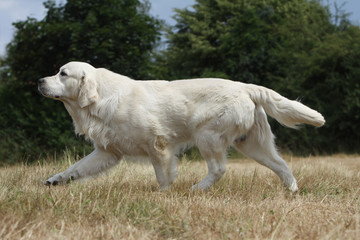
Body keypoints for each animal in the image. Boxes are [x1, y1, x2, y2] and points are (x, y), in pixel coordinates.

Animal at [38, 62, 324, 191]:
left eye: (63, 73)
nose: (39, 80)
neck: (101, 99)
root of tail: (245, 87)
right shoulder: (107, 152)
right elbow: (76, 167)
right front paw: (55, 179)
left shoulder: (158, 145)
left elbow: (163, 176)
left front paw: (164, 194)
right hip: (254, 145)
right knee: (282, 165)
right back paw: (292, 191)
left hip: (207, 135)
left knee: (218, 169)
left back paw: (197, 188)